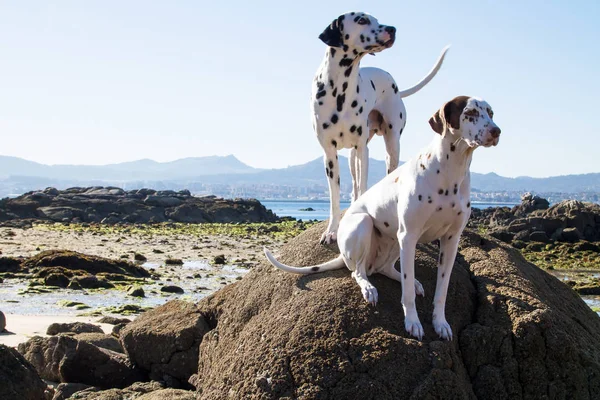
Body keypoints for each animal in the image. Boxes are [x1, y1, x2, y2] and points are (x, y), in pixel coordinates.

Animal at [264, 96, 500, 340]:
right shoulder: (409, 235)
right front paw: (412, 322)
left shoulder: (450, 241)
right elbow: (406, 293)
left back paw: (411, 282)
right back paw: (369, 288)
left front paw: (440, 323)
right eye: (470, 113)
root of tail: (341, 254)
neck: (451, 171)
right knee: (358, 272)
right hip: (365, 225)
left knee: (387, 269)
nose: (496, 131)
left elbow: (441, 291)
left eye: (491, 113)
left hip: (396, 240)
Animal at [312, 10, 448, 244]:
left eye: (375, 19)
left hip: (391, 144)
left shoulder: (362, 149)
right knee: (354, 185)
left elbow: (363, 186)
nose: (392, 29)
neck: (340, 89)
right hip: (352, 156)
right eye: (361, 20)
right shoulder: (329, 154)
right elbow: (335, 197)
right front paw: (331, 231)